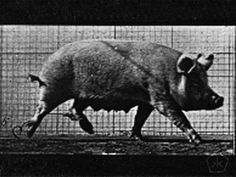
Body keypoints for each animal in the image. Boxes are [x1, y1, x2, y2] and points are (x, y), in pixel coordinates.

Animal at [25, 39, 223, 144]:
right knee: (42, 109)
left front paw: (137, 138)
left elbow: (140, 118)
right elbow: (177, 115)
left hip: (83, 95)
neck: (170, 75)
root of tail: (47, 62)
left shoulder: (147, 100)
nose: (220, 98)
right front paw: (198, 140)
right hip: (52, 88)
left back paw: (90, 130)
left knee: (73, 109)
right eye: (195, 82)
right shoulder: (159, 95)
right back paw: (27, 132)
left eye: (206, 79)